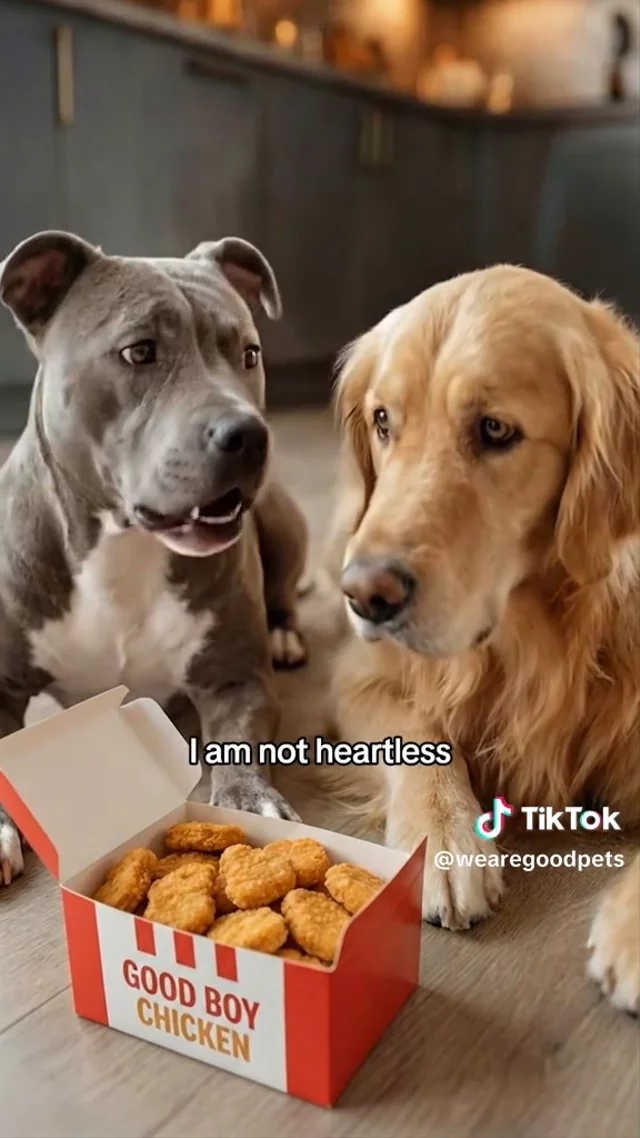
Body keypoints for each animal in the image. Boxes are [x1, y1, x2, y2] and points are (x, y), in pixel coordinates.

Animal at [0, 229, 308, 888]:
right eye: (139, 352)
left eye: (249, 354)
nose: (250, 434)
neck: (124, 544)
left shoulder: (236, 678)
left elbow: (238, 743)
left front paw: (254, 802)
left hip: (282, 519)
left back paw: (285, 633)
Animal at [329, 265, 640, 1015]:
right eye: (383, 421)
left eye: (495, 429)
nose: (363, 594)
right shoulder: (358, 674)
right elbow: (419, 732)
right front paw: (442, 838)